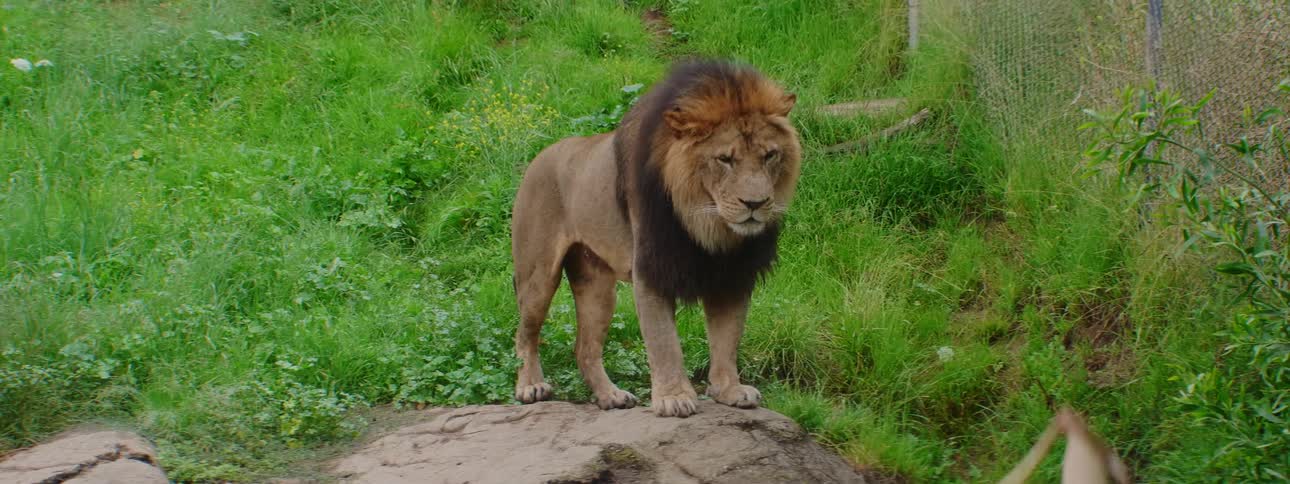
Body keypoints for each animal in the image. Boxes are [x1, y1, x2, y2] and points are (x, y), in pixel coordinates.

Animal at [510, 60, 801, 417]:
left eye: (770, 155)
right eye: (725, 159)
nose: (756, 204)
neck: (708, 224)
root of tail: (538, 157)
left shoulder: (733, 274)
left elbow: (728, 337)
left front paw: (729, 390)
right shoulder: (652, 268)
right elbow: (664, 342)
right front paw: (674, 398)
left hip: (597, 286)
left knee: (584, 348)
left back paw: (611, 396)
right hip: (538, 274)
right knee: (525, 333)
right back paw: (530, 386)